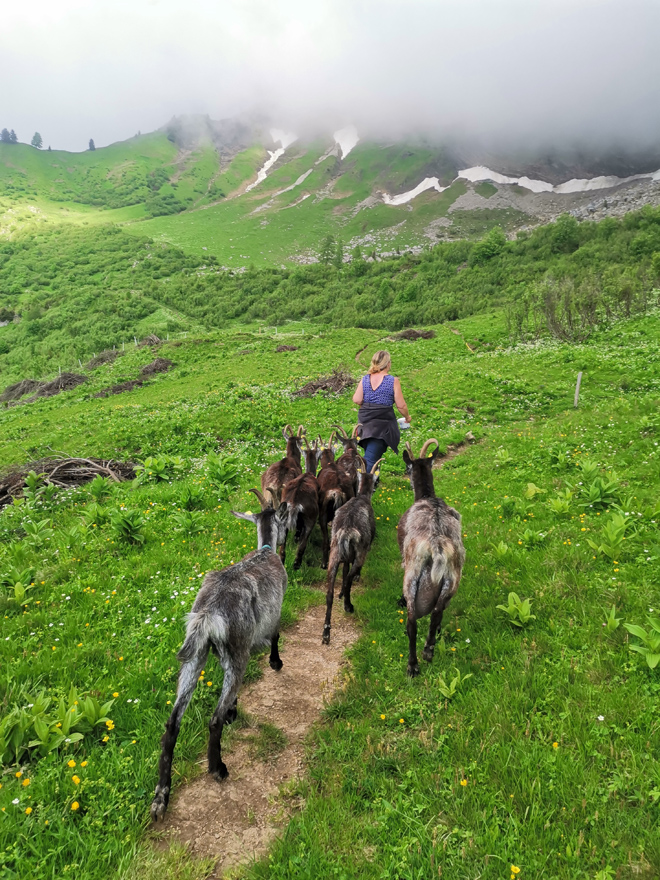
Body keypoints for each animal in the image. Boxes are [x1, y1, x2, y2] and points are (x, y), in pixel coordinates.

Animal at [153, 488, 292, 820]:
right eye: (285, 520)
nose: (289, 534)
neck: (265, 549)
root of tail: (208, 614)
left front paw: (233, 708)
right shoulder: (276, 609)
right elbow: (276, 635)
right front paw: (276, 662)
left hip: (194, 656)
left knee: (172, 724)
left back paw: (161, 796)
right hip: (236, 652)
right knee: (212, 721)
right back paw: (218, 768)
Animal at [320, 458, 382, 644]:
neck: (361, 498)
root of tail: (346, 532)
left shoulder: (345, 558)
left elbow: (345, 569)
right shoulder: (364, 549)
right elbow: (349, 574)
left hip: (334, 556)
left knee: (329, 593)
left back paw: (326, 633)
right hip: (360, 554)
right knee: (348, 579)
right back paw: (348, 605)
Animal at [398, 436, 464, 676]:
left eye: (408, 467)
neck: (428, 497)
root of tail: (436, 547)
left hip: (412, 575)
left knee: (412, 621)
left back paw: (413, 664)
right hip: (451, 580)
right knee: (437, 613)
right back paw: (429, 649)